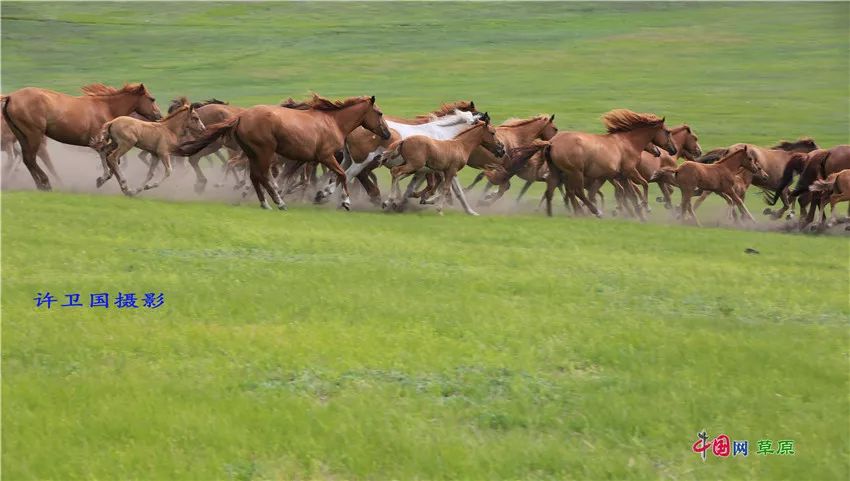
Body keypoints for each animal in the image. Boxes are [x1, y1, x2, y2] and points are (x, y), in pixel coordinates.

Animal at [0, 82, 161, 189]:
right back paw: (46, 182)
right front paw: (105, 180)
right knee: (31, 158)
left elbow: (113, 160)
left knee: (28, 159)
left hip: (21, 135)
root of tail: (11, 97)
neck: (106, 108)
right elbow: (109, 160)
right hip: (33, 134)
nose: (159, 116)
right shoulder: (98, 142)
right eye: (152, 99)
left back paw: (41, 184)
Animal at [176, 94, 388, 210]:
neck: (332, 121)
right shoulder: (325, 157)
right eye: (379, 113)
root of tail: (241, 117)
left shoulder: (304, 160)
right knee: (259, 175)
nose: (386, 133)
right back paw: (277, 203)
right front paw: (345, 201)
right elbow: (342, 175)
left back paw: (266, 202)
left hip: (253, 154)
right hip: (263, 152)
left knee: (254, 176)